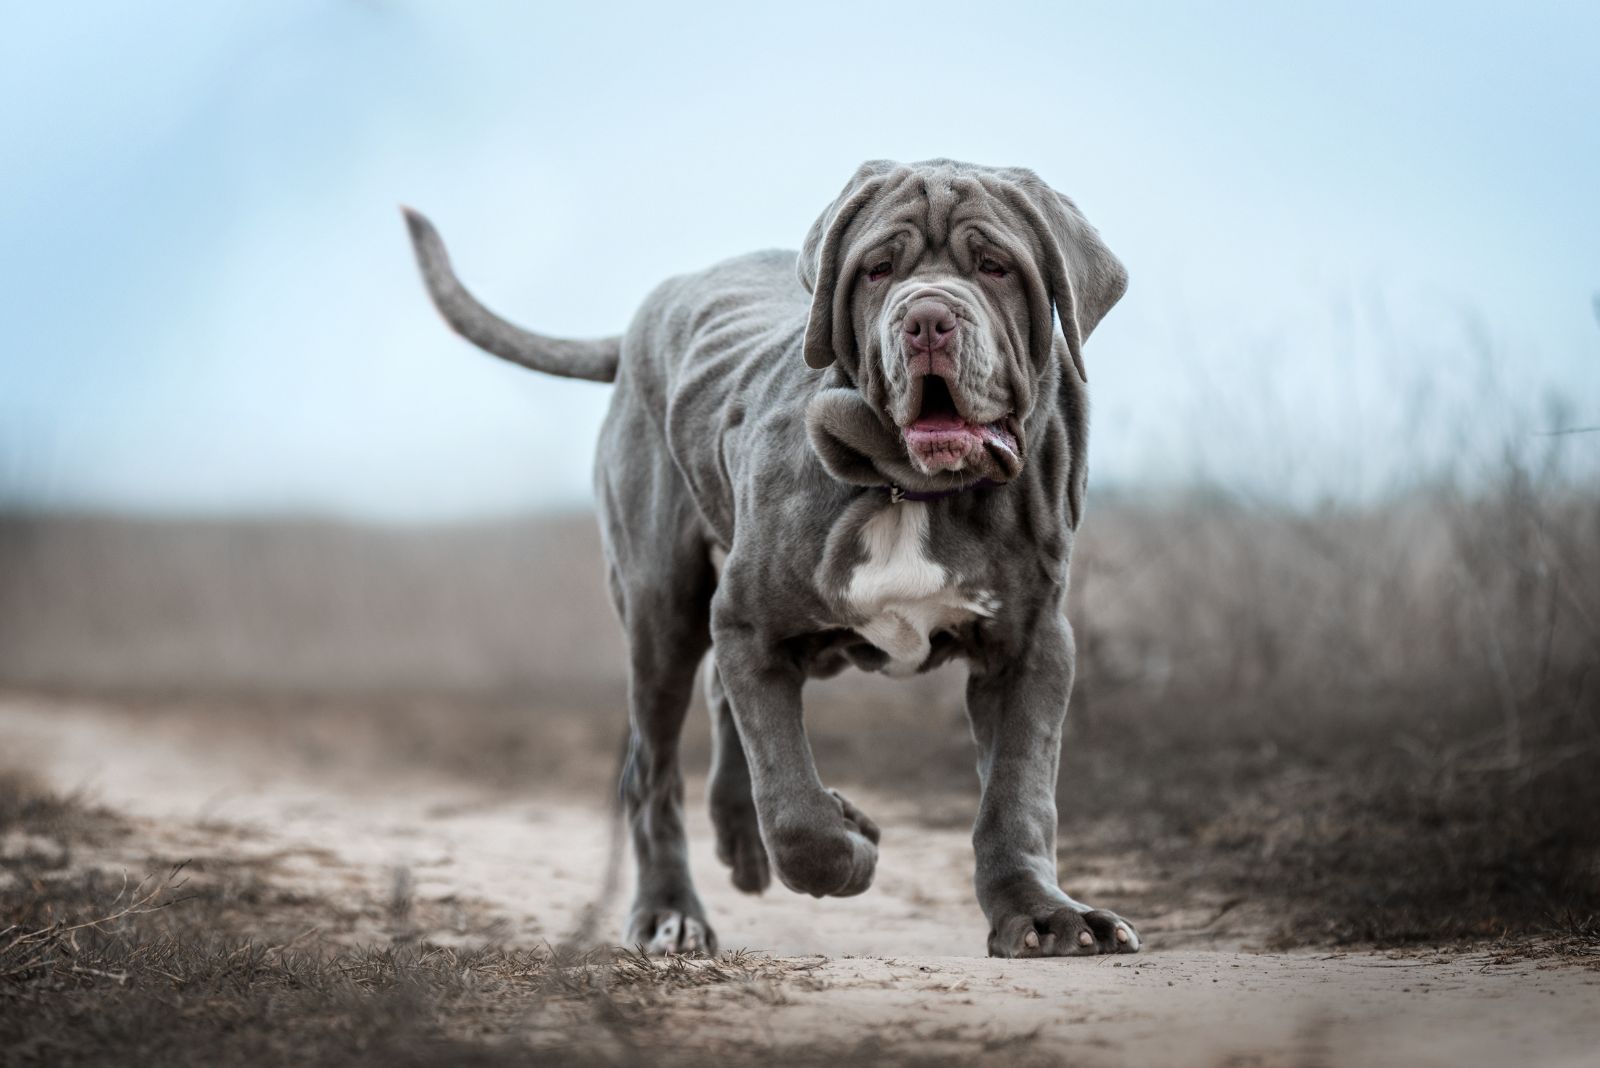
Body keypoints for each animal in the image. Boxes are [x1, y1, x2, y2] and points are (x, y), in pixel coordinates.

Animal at [406, 158, 1145, 959]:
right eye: (879, 269)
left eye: (994, 265)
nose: (926, 321)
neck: (911, 488)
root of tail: (646, 313)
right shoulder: (750, 623)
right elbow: (792, 808)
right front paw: (849, 844)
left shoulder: (1031, 645)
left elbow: (1018, 796)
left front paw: (1043, 913)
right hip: (662, 611)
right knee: (654, 770)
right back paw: (670, 911)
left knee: (722, 706)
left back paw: (736, 840)